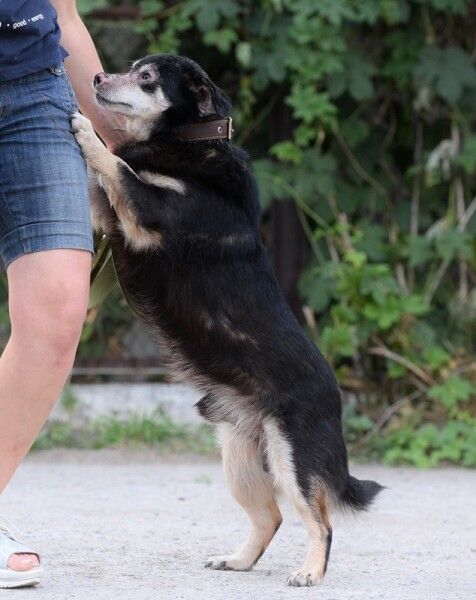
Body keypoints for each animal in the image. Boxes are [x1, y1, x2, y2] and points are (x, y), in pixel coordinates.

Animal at [70, 54, 384, 588]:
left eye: (146, 77)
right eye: (131, 67)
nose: (96, 77)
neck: (189, 142)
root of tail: (336, 396)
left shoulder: (145, 213)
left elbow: (116, 165)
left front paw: (85, 129)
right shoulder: (111, 220)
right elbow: (107, 175)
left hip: (292, 459)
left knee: (319, 522)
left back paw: (309, 572)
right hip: (239, 454)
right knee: (270, 517)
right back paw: (238, 560)